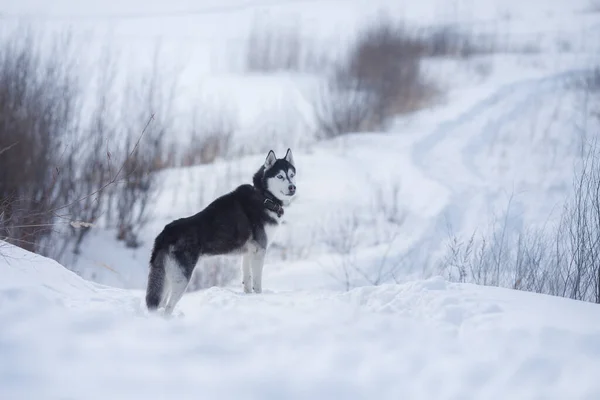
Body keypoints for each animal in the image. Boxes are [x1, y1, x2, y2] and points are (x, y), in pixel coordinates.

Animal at [145, 148, 296, 314]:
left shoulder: (248, 253)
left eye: (292, 175)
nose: (292, 187)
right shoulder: (259, 251)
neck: (264, 197)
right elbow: (257, 283)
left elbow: (247, 281)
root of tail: (165, 234)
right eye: (280, 176)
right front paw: (259, 298)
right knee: (168, 307)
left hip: (166, 279)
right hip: (181, 279)